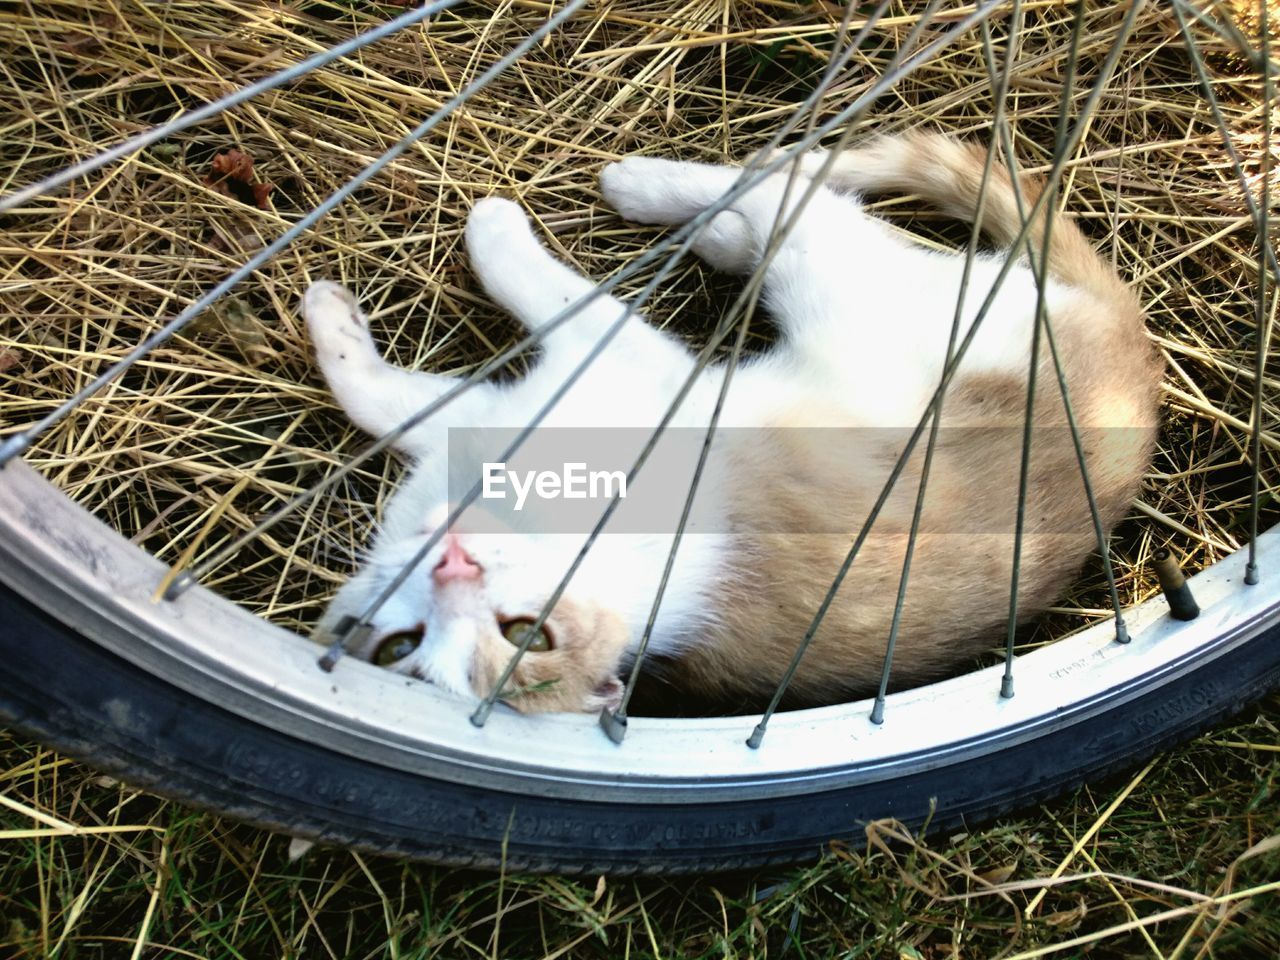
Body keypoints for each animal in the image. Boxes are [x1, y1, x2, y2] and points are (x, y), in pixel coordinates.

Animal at [299, 129, 1162, 716]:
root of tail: (1136, 351)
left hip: (851, 289)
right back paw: (715, 225)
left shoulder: (632, 367)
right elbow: (386, 399)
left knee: (791, 190)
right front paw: (337, 325)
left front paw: (490, 230)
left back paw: (664, 188)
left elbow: (530, 291)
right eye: (403, 646)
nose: (452, 566)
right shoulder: (497, 415)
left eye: (525, 634)